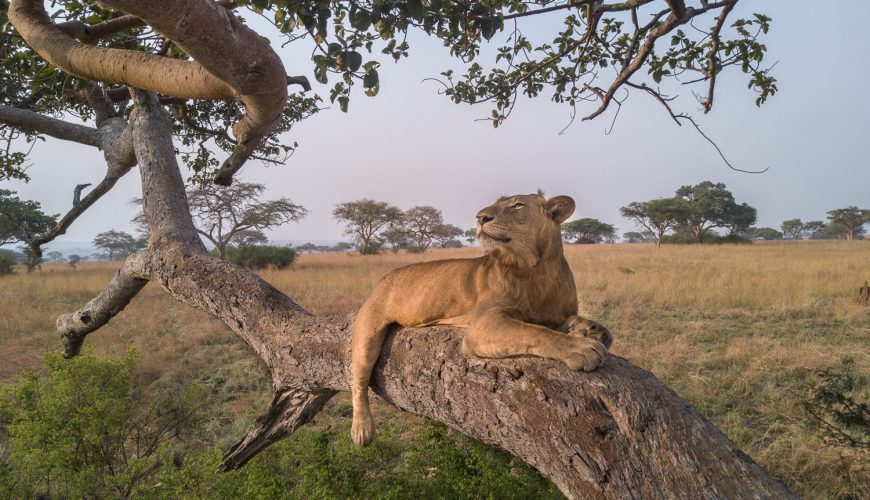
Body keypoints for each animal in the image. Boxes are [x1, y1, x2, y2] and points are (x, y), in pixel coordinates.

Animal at [350, 193, 613, 447]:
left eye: (517, 205)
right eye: (496, 203)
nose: (480, 217)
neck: (536, 267)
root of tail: (385, 277)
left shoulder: (554, 314)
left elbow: (572, 323)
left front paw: (592, 329)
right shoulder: (482, 324)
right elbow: (536, 331)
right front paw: (582, 347)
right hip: (367, 331)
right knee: (359, 381)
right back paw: (362, 430)